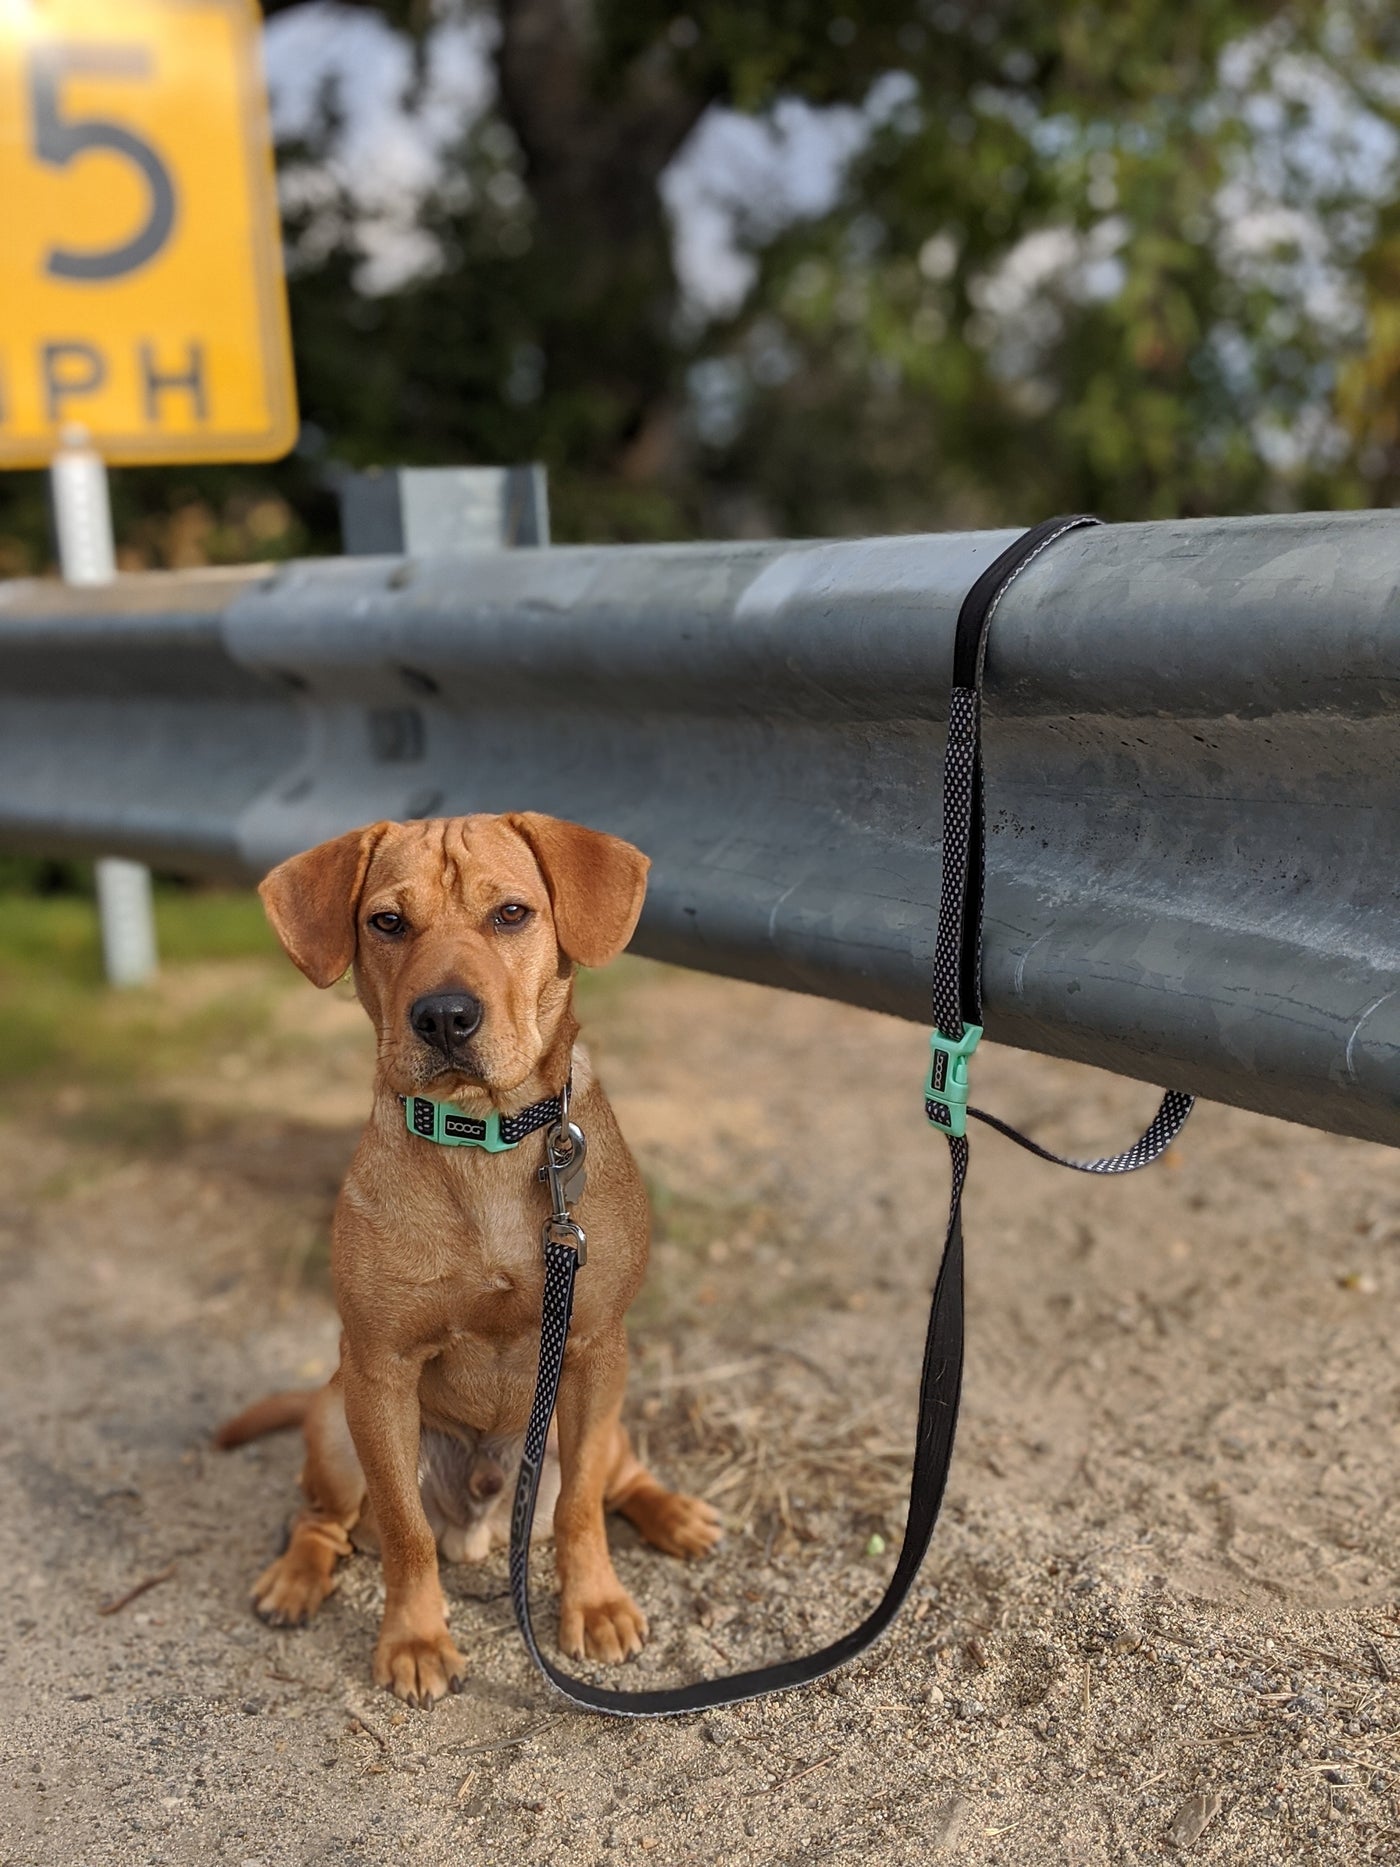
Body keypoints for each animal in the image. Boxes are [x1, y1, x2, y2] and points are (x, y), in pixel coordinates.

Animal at [222, 817, 724, 1710]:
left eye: (512, 913)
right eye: (387, 922)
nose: (446, 1016)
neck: (483, 1138)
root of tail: (484, 1520)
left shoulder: (595, 1349)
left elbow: (581, 1508)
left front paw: (593, 1602)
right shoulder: (379, 1369)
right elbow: (403, 1532)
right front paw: (415, 1638)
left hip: (608, 1411)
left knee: (619, 1478)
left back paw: (672, 1513)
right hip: (334, 1424)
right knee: (322, 1520)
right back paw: (295, 1576)